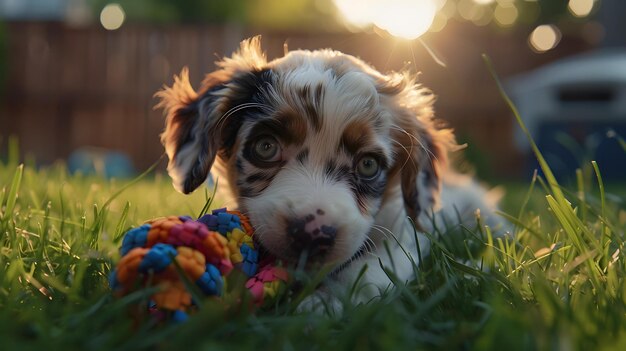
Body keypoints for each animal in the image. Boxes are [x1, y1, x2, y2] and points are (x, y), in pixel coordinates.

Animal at [157, 36, 502, 310]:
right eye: (265, 147)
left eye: (368, 164)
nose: (312, 235)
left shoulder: (402, 237)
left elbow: (370, 271)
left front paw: (322, 305)